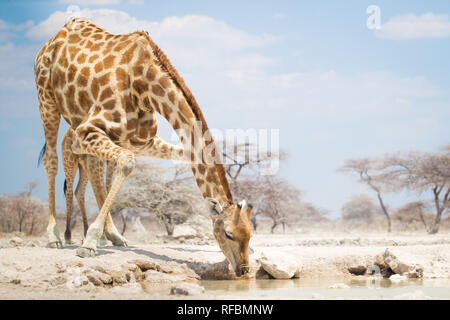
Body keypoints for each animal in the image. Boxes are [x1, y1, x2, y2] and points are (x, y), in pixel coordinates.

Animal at [34, 17, 253, 276]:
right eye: (228, 234)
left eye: (250, 234)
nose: (244, 270)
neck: (145, 86)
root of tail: (54, 38)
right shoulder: (85, 131)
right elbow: (127, 163)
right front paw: (89, 243)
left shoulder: (140, 141)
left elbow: (181, 156)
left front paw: (98, 237)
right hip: (46, 98)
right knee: (51, 160)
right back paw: (56, 236)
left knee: (92, 169)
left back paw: (113, 235)